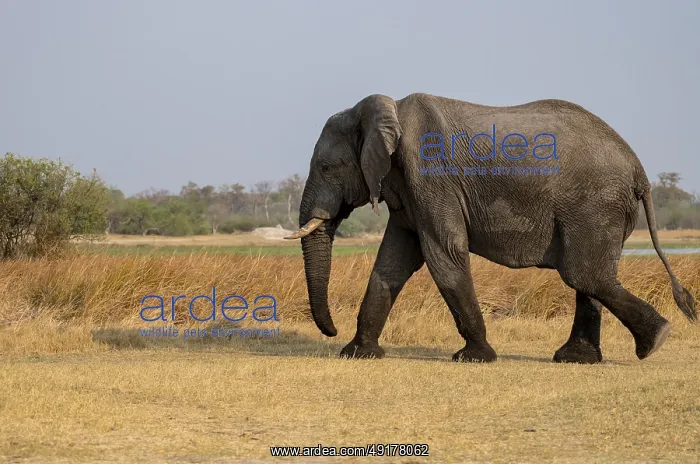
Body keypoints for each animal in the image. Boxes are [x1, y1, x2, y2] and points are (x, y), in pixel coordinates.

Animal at [285, 93, 697, 364]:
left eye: (326, 167)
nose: (331, 331)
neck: (387, 111)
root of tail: (640, 170)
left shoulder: (430, 174)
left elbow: (444, 255)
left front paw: (475, 357)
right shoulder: (406, 189)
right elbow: (392, 262)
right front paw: (357, 354)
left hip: (595, 203)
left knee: (583, 272)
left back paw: (655, 341)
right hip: (602, 209)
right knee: (591, 275)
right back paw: (579, 358)